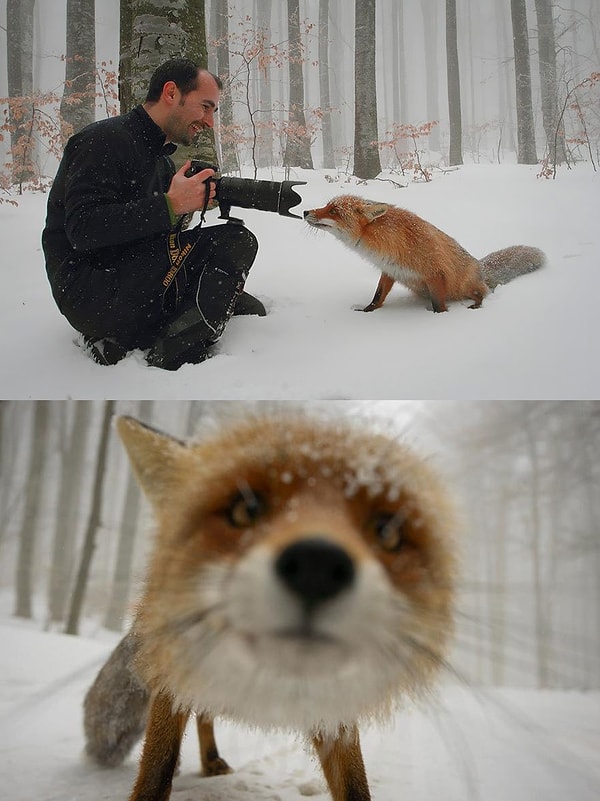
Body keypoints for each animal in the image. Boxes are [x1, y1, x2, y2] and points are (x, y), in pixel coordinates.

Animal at [82, 406, 458, 800]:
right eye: (243, 510)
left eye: (385, 530)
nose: (316, 566)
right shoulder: (173, 675)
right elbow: (157, 768)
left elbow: (355, 784)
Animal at [304, 195, 544, 314]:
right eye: (327, 205)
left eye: (334, 211)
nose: (306, 211)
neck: (389, 242)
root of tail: (481, 267)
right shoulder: (389, 270)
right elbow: (377, 297)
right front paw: (366, 312)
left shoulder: (435, 274)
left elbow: (439, 306)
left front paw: (438, 320)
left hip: (465, 286)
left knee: (483, 293)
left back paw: (476, 306)